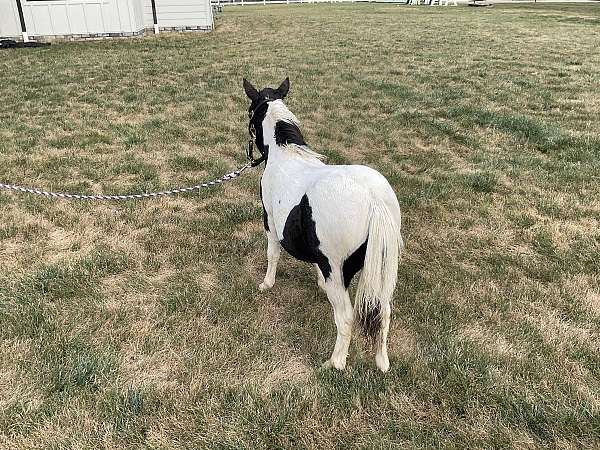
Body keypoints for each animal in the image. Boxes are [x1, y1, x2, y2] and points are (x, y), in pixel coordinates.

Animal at [244, 78, 404, 372]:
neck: (286, 155)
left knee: (346, 317)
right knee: (385, 311)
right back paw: (382, 361)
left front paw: (267, 284)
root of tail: (374, 200)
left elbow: (272, 254)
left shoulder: (269, 220)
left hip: (339, 270)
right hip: (382, 268)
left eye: (251, 110)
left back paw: (335, 363)